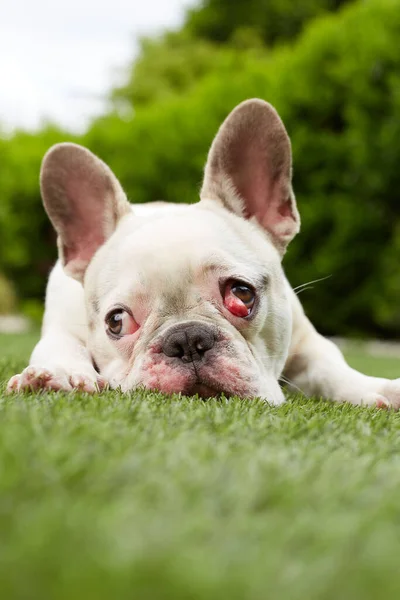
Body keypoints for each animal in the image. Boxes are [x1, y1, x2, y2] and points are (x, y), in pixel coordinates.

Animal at [5, 99, 400, 408]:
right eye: (116, 322)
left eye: (242, 294)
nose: (186, 340)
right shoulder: (62, 325)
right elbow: (58, 347)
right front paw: (60, 374)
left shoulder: (306, 339)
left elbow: (330, 365)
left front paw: (374, 388)